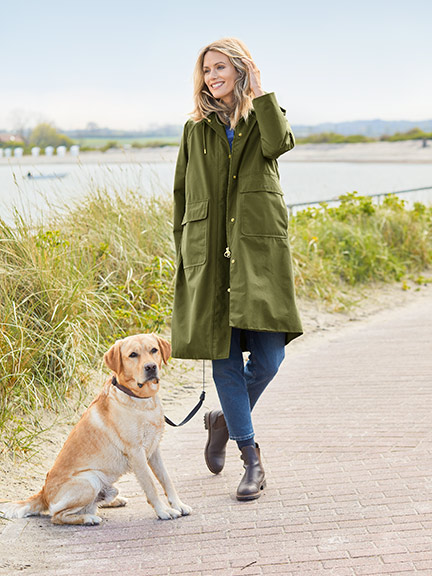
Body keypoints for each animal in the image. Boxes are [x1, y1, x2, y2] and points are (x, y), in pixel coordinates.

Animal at [0, 332, 192, 528]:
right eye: (133, 355)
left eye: (154, 350)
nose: (151, 367)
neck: (141, 400)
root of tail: (43, 493)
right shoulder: (137, 453)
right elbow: (151, 486)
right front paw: (164, 511)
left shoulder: (154, 451)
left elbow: (166, 479)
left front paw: (178, 505)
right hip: (89, 480)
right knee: (57, 516)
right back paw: (88, 519)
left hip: (107, 486)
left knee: (93, 504)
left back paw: (114, 501)